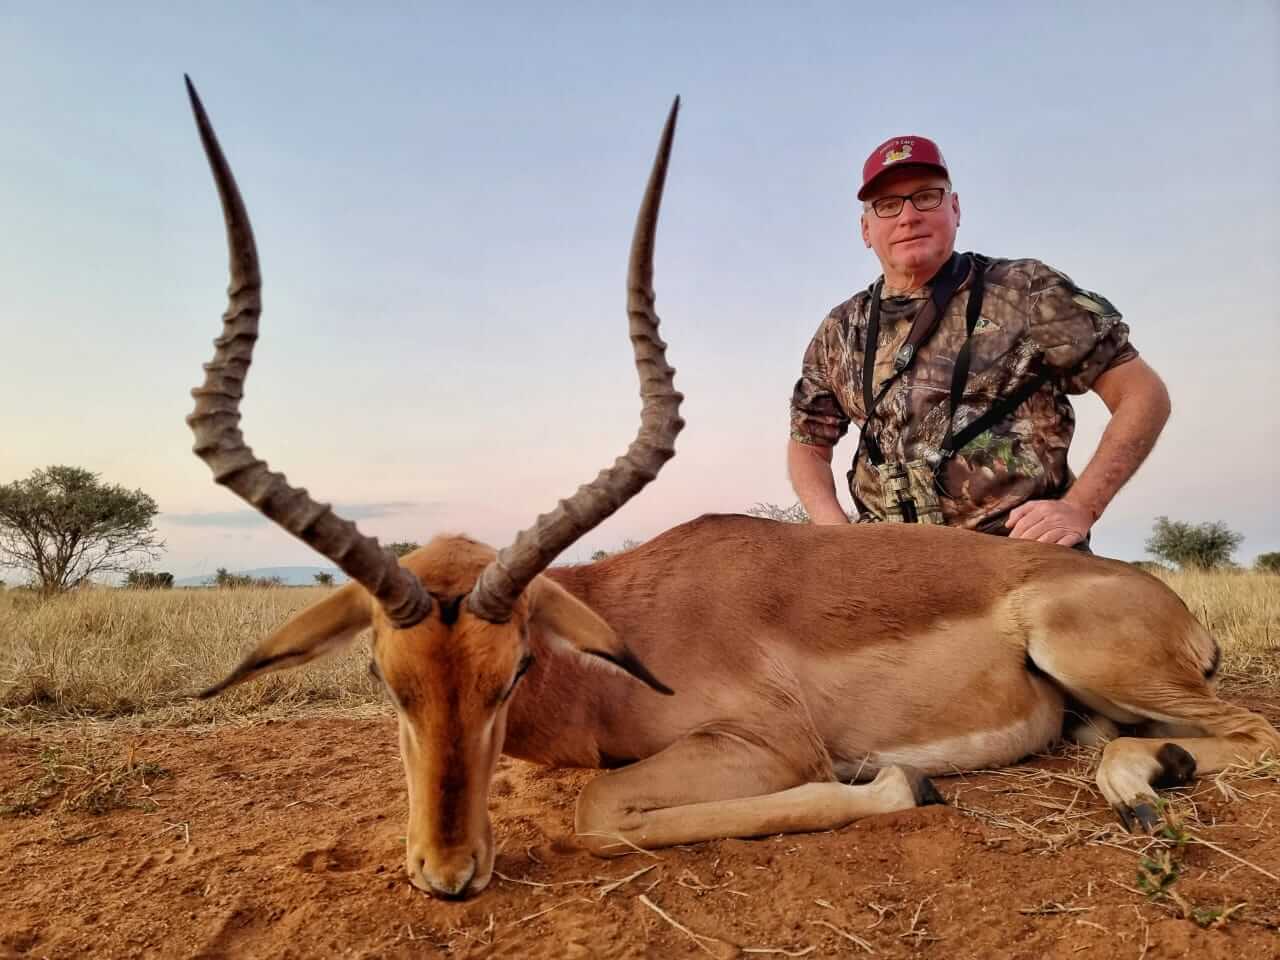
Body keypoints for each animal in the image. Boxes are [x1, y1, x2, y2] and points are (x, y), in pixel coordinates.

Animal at [185, 79, 1280, 901]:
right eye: (385, 678)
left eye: (515, 669)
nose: (448, 875)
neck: (624, 643)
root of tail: (1157, 598)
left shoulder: (767, 745)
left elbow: (597, 813)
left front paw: (898, 785)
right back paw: (1149, 779)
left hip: (1087, 655)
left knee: (1253, 730)